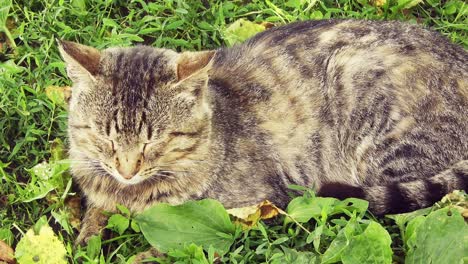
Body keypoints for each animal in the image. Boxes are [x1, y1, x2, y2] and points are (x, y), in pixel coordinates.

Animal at [58, 18, 468, 245]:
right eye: (104, 135)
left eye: (154, 139)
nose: (126, 170)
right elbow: (93, 215)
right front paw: (87, 238)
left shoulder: (245, 207)